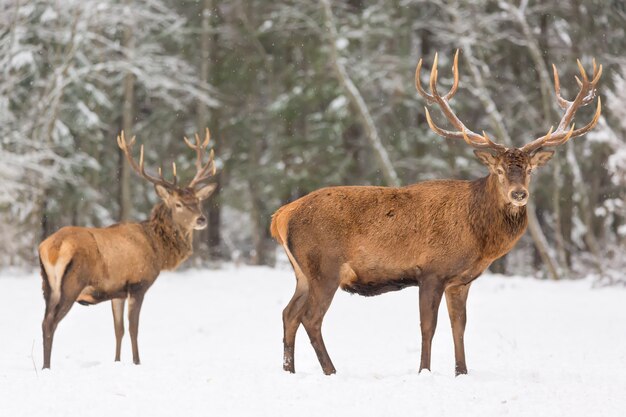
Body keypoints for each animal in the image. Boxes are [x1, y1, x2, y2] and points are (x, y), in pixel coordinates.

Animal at [39, 127, 218, 368]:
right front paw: (136, 362)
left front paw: (116, 361)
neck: (158, 250)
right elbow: (134, 328)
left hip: (47, 286)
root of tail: (52, 248)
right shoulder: (138, 284)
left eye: (198, 201)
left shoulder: (118, 292)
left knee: (44, 321)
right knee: (50, 323)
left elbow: (118, 330)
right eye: (178, 204)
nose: (201, 219)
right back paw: (46, 367)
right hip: (70, 284)